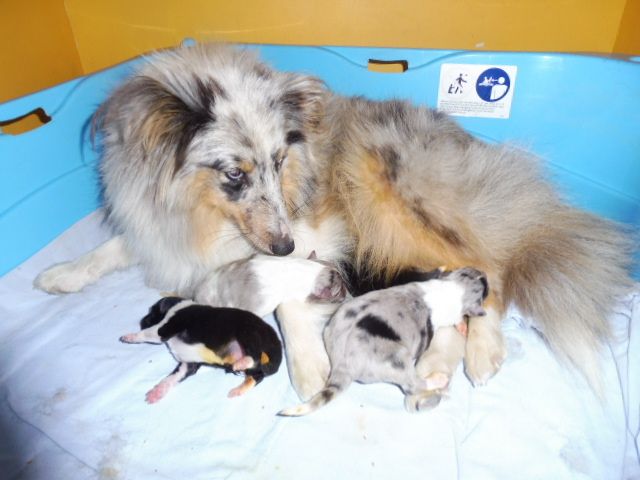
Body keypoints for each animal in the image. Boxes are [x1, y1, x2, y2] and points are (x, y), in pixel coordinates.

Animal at [121, 298, 282, 404]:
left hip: (248, 332)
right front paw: (157, 392)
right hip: (254, 363)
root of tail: (277, 344)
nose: (141, 321)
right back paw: (238, 390)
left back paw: (242, 363)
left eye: (152, 311)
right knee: (257, 376)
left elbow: (147, 333)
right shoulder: (188, 364)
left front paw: (129, 336)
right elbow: (171, 378)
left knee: (254, 356)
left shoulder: (166, 328)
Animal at [278, 266, 488, 416]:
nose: (485, 274)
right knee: (413, 384)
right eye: (484, 290)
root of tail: (341, 365)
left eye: (470, 270)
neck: (451, 289)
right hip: (398, 362)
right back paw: (437, 380)